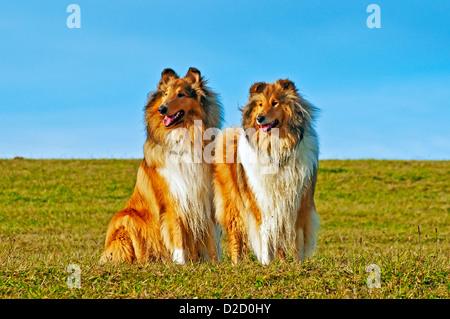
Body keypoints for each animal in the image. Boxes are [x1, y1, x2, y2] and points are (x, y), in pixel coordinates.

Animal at [100, 67, 223, 264]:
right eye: (165, 94)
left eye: (181, 94)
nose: (162, 109)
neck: (185, 135)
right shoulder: (172, 198)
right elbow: (177, 233)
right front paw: (181, 263)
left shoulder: (206, 199)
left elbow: (211, 237)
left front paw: (216, 263)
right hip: (126, 218)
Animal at [213, 79, 318, 264]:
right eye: (260, 104)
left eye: (275, 102)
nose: (259, 118)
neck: (277, 149)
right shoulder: (261, 201)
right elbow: (265, 235)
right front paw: (266, 263)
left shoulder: (298, 202)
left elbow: (297, 237)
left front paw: (298, 264)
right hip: (232, 205)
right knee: (236, 235)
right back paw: (236, 263)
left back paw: (282, 263)